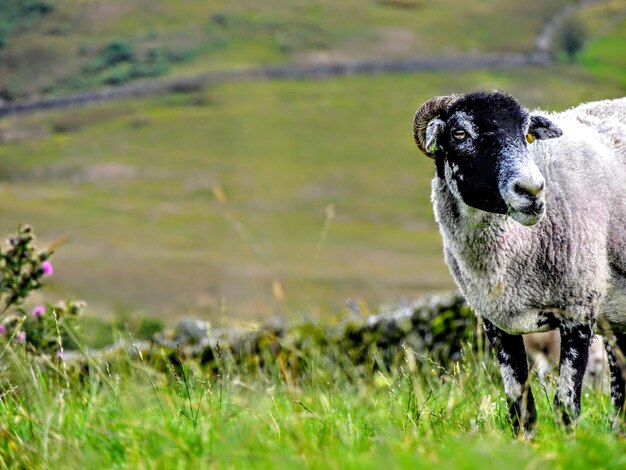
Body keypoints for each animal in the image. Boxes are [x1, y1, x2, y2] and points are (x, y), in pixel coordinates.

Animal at [412, 90, 620, 436]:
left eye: (526, 135)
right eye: (460, 133)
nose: (531, 190)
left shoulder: (579, 309)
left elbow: (566, 405)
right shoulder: (497, 322)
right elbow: (520, 407)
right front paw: (527, 442)